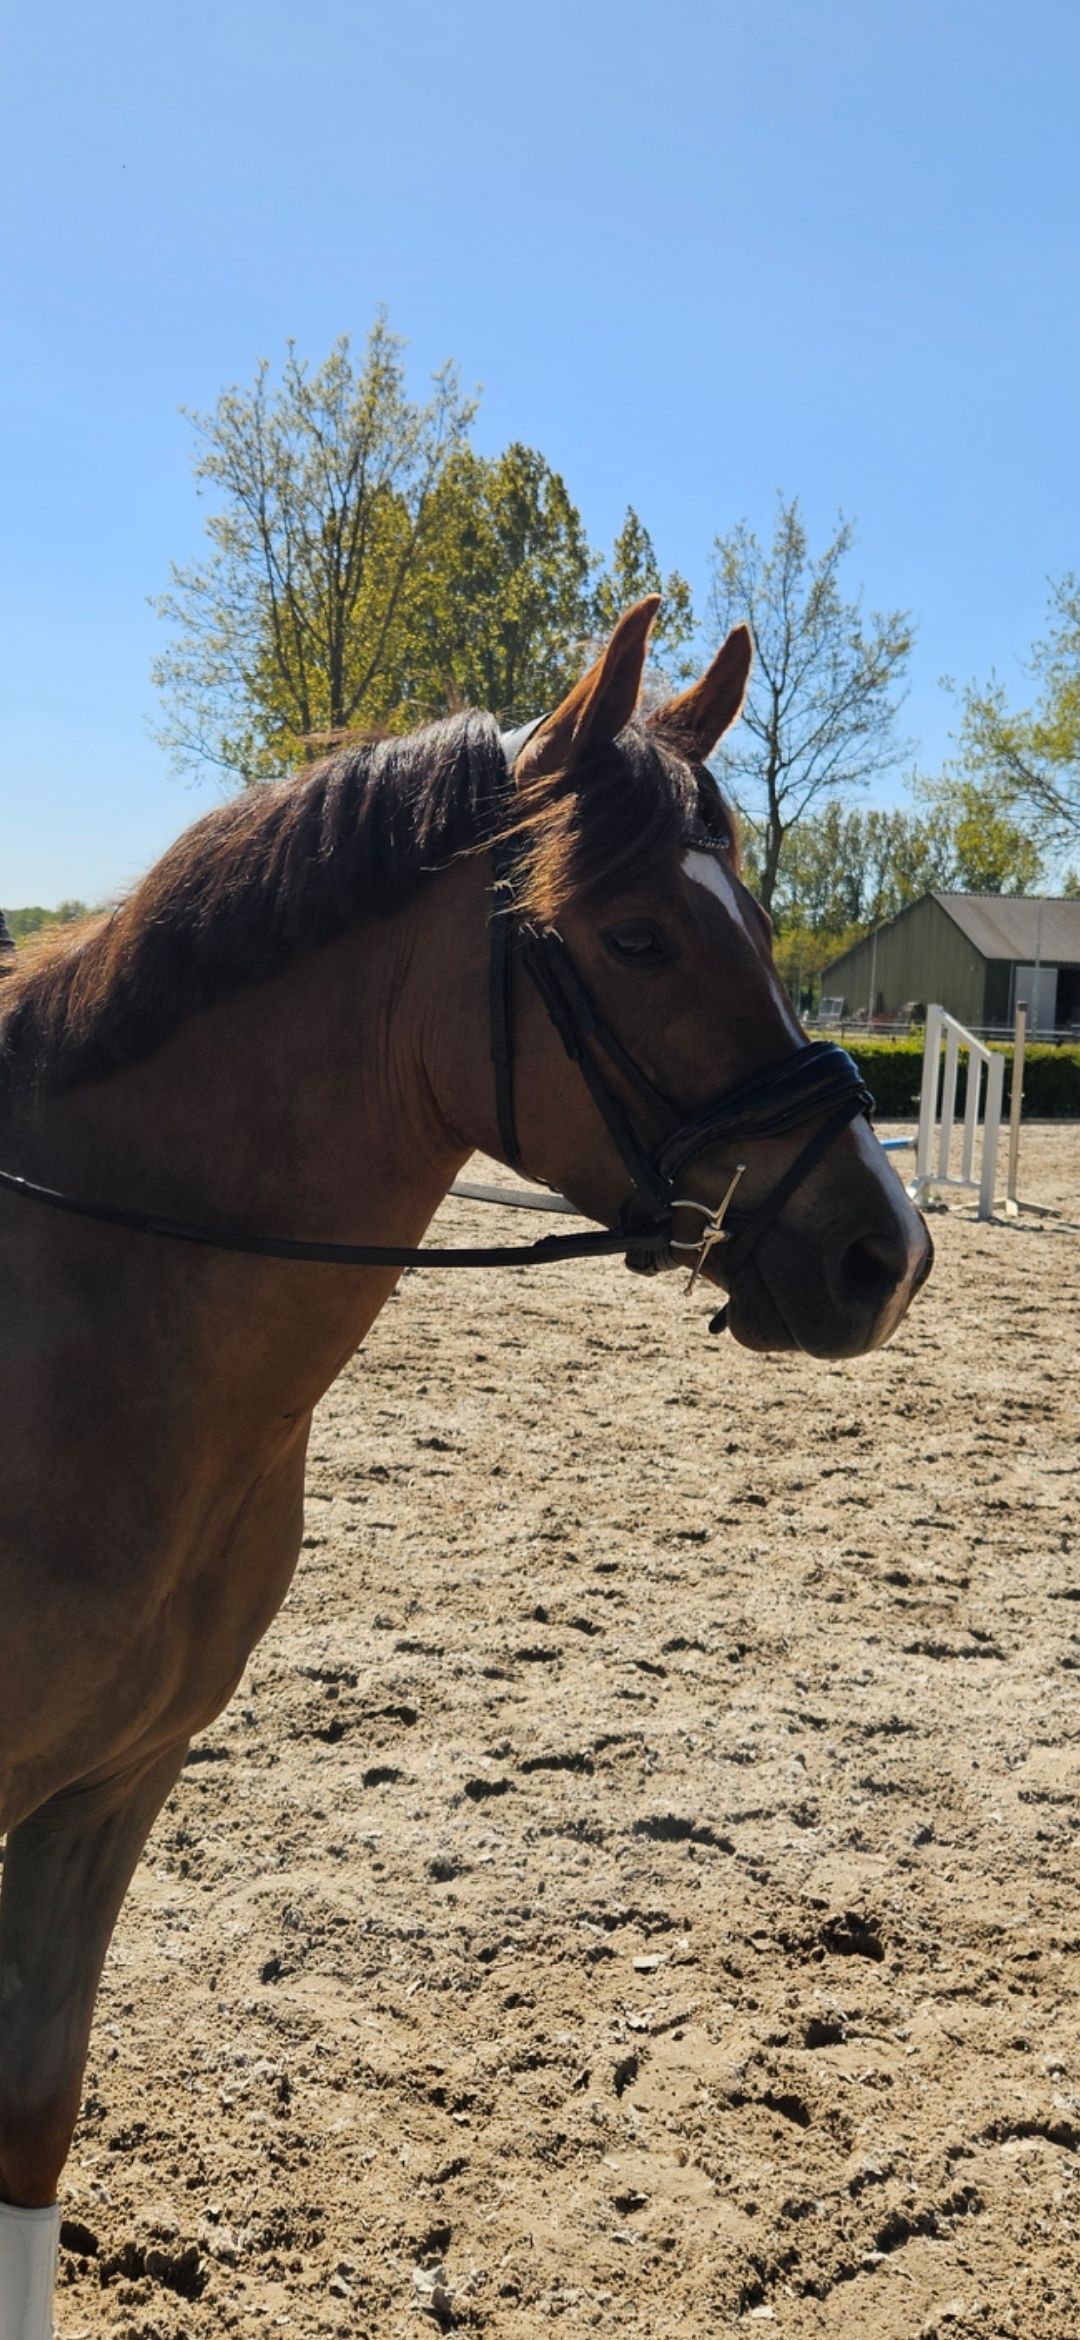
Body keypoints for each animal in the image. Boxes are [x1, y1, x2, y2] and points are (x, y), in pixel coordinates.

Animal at [0, 600, 931, 2334]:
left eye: (761, 921)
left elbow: (35, 2116)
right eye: (635, 939)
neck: (87, 1303)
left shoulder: (111, 1783)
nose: (882, 1256)